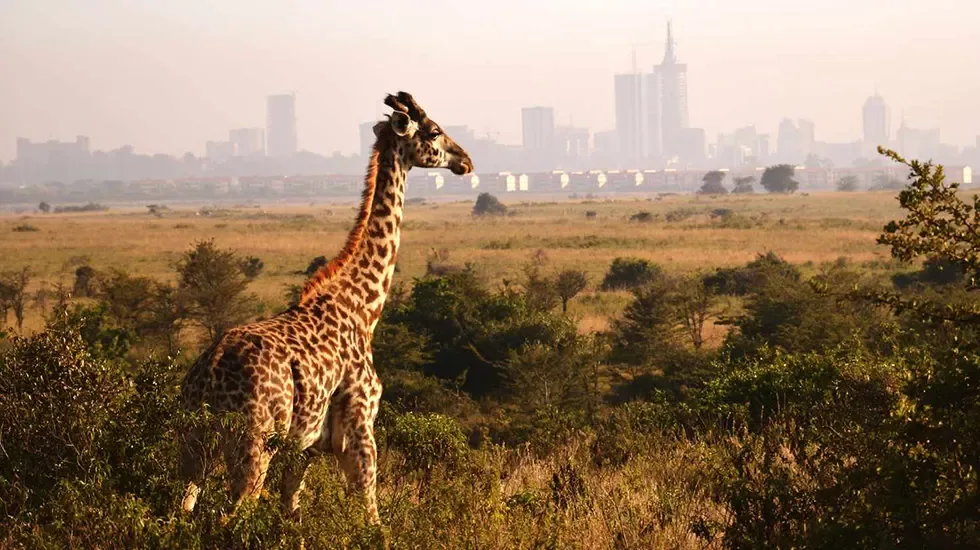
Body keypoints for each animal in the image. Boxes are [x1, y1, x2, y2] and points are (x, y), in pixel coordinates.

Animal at [177, 91, 473, 525]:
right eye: (434, 131)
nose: (465, 161)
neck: (363, 307)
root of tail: (210, 372)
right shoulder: (360, 427)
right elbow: (372, 515)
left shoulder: (305, 446)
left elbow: (292, 511)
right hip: (254, 444)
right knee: (233, 513)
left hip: (193, 445)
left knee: (180, 507)